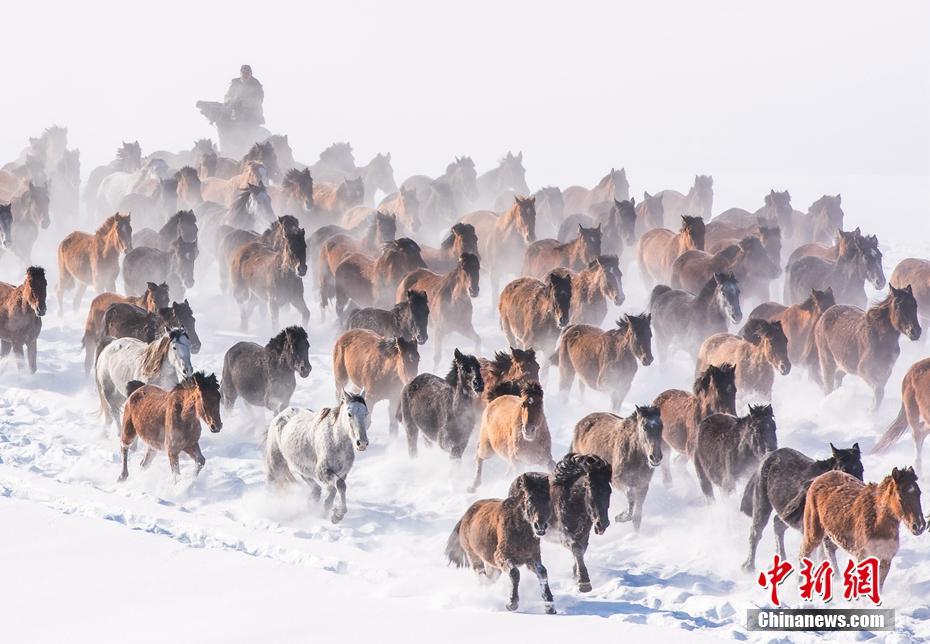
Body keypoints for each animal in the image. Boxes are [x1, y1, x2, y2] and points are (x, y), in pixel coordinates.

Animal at [265, 391, 370, 524]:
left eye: (366, 413)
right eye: (349, 414)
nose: (362, 443)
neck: (336, 441)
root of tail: (280, 415)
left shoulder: (342, 473)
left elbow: (335, 488)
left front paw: (329, 511)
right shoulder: (323, 472)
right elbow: (340, 485)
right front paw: (338, 515)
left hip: (299, 466)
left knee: (314, 487)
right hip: (275, 464)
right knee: (272, 484)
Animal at [445, 472, 555, 614]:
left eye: (548, 499)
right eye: (530, 499)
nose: (540, 526)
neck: (519, 529)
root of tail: (466, 515)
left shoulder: (532, 558)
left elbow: (542, 572)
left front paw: (550, 606)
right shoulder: (502, 555)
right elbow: (514, 573)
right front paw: (512, 603)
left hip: (493, 566)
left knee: (489, 579)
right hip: (474, 556)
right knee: (481, 575)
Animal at [546, 453, 612, 592]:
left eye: (609, 491)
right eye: (591, 489)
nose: (602, 524)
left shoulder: (584, 534)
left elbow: (582, 549)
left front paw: (575, 575)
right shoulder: (564, 534)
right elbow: (576, 549)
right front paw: (584, 582)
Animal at [739, 443, 863, 572]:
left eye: (861, 469)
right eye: (844, 470)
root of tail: (768, 456)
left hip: (787, 515)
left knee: (777, 523)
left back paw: (781, 560)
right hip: (762, 505)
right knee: (755, 532)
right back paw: (749, 567)